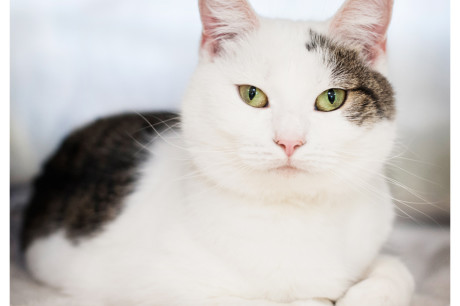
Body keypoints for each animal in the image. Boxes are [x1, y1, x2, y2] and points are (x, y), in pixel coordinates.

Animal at [21, 0, 416, 304]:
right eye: (252, 95)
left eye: (332, 98)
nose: (289, 141)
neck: (294, 215)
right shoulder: (159, 287)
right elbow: (293, 301)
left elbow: (399, 270)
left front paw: (366, 293)